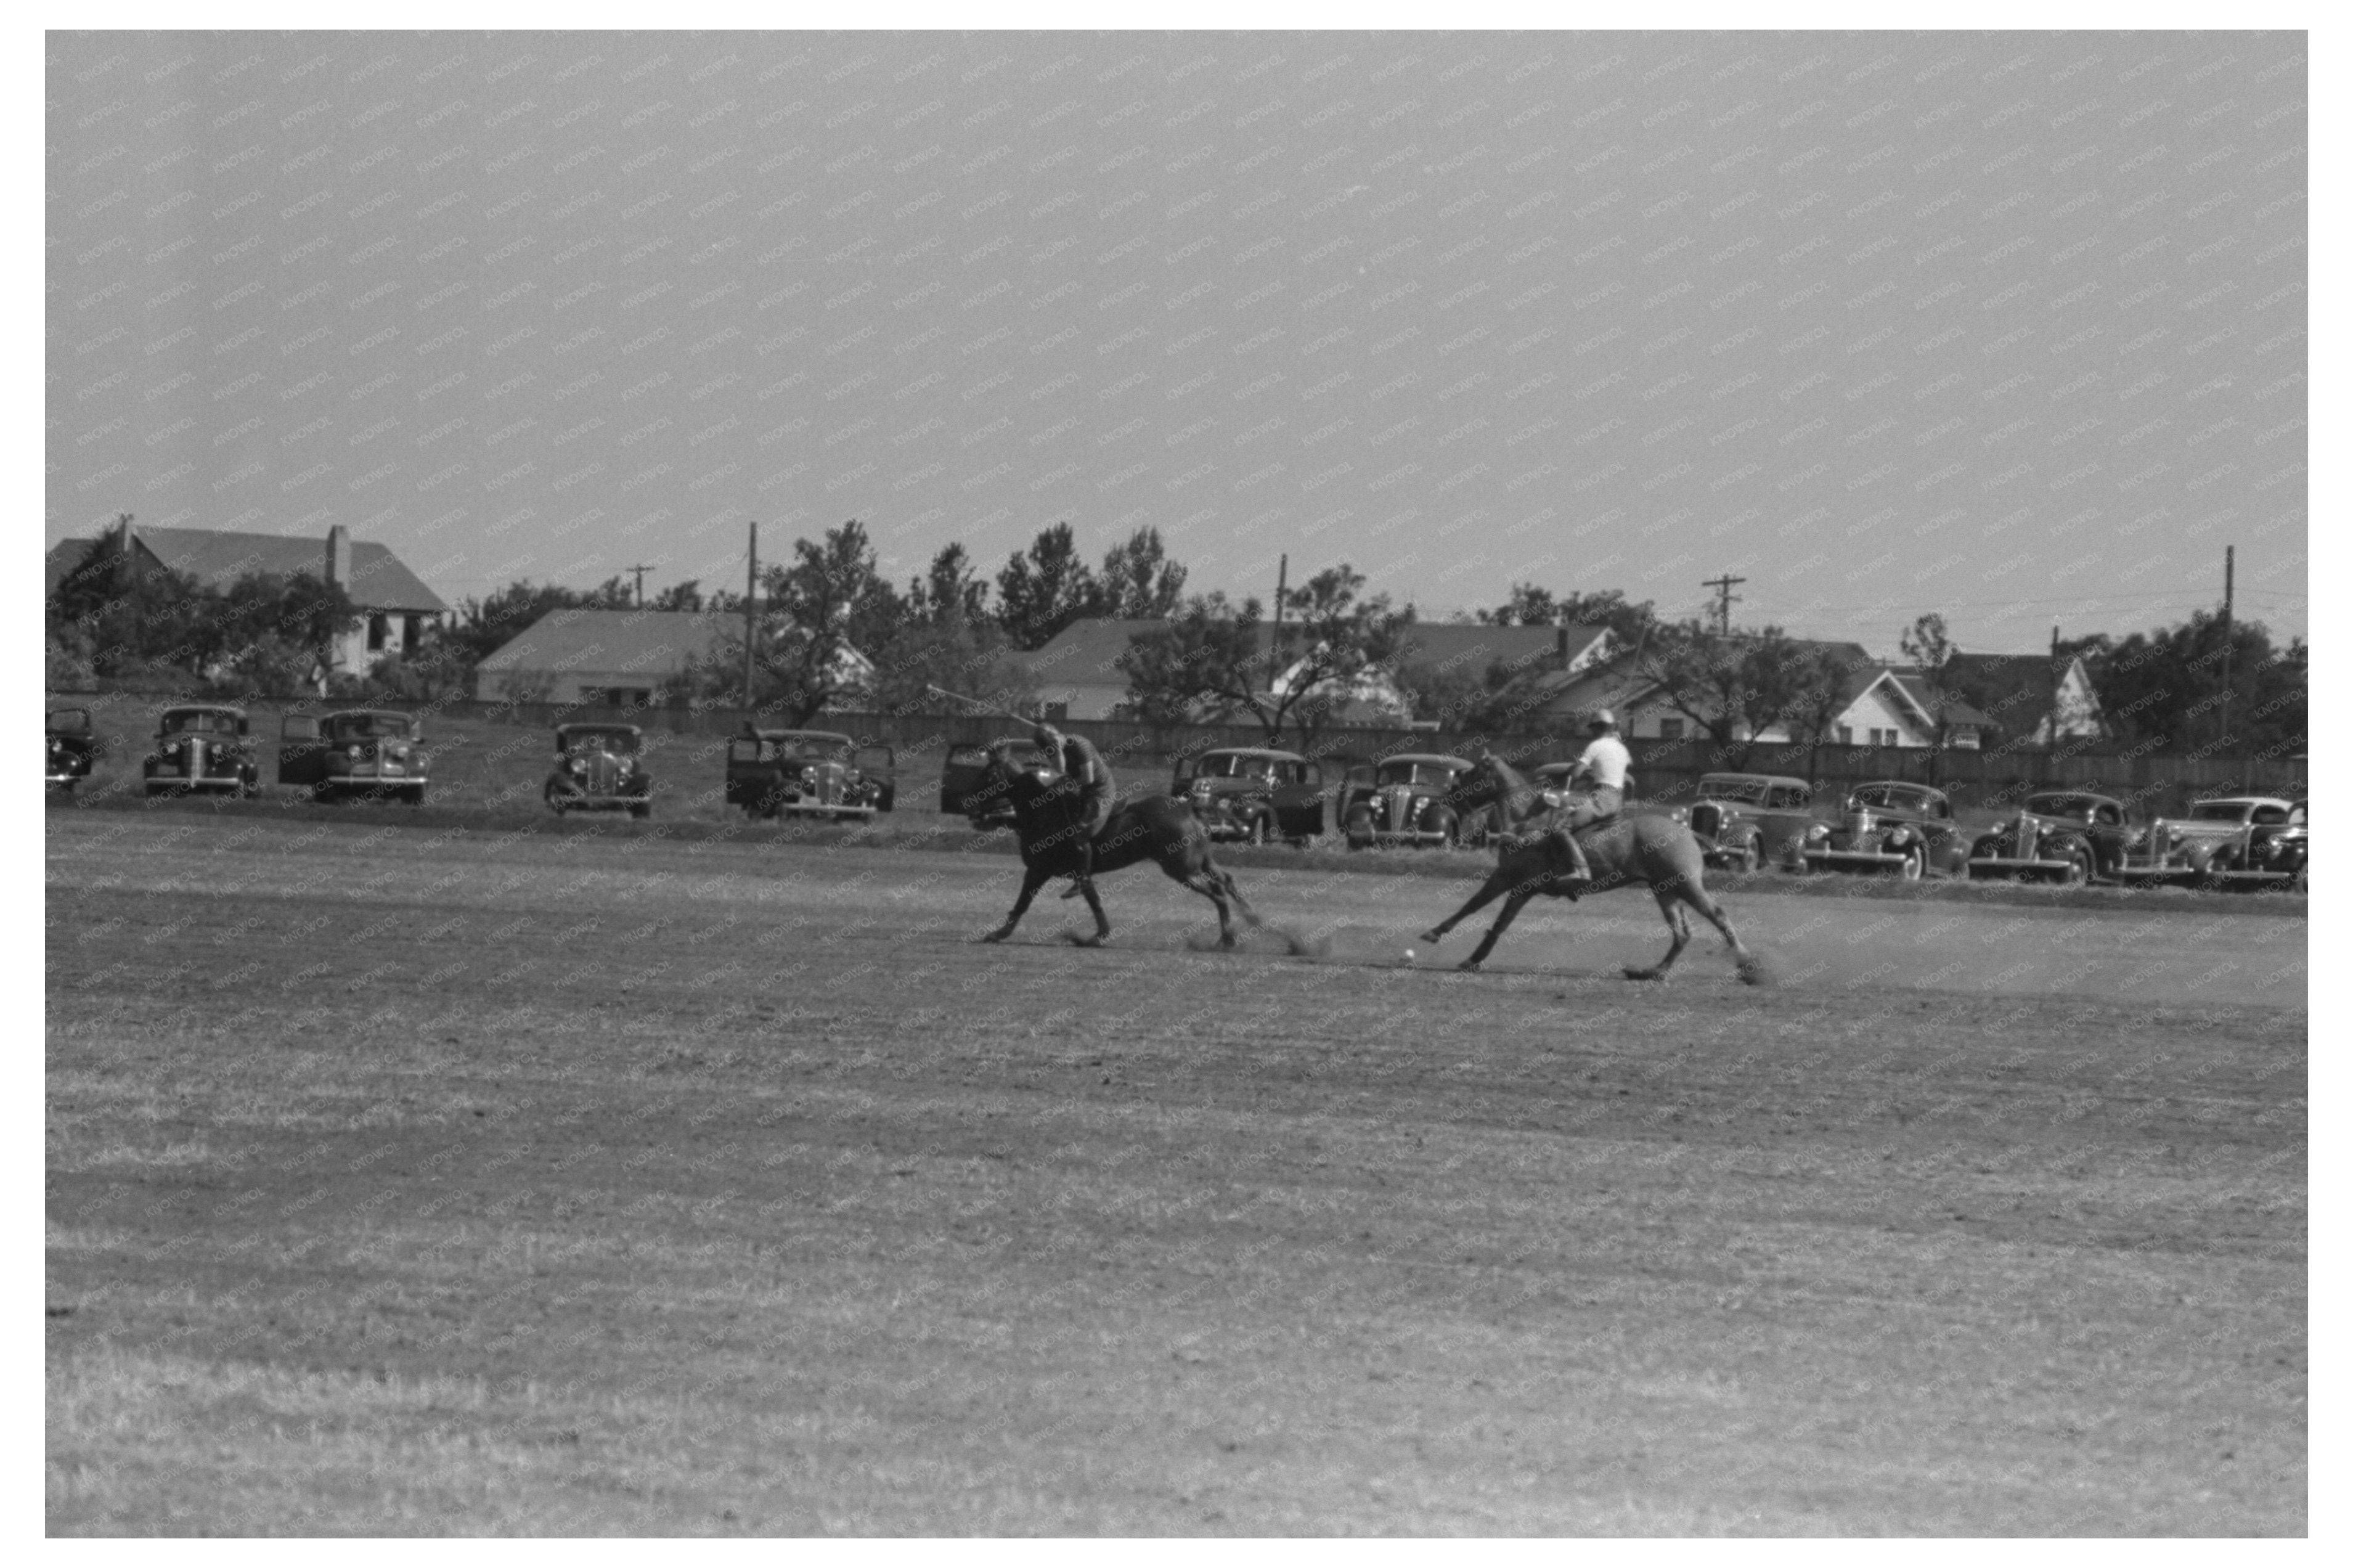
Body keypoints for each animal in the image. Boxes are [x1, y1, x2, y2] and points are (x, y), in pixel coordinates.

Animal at [974, 744, 1270, 946]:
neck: (1043, 812)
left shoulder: (1038, 869)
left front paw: (998, 933)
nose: (971, 804)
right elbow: (1093, 900)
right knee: (1226, 882)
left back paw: (1228, 939)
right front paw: (1099, 935)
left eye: (990, 773)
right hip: (1201, 861)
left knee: (1218, 893)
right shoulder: (1068, 872)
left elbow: (1024, 902)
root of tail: (1190, 808)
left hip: (1181, 868)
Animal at [1402, 744, 1760, 979]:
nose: (1448, 800)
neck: (1524, 821)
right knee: (1681, 933)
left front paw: (1439, 935)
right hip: (1665, 889)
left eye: (1474, 772)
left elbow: (1477, 908)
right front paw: (1472, 958)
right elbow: (1493, 919)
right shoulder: (1519, 886)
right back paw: (1653, 971)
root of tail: (1688, 831)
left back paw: (1747, 966)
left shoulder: (1511, 879)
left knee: (1718, 915)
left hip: (1685, 883)